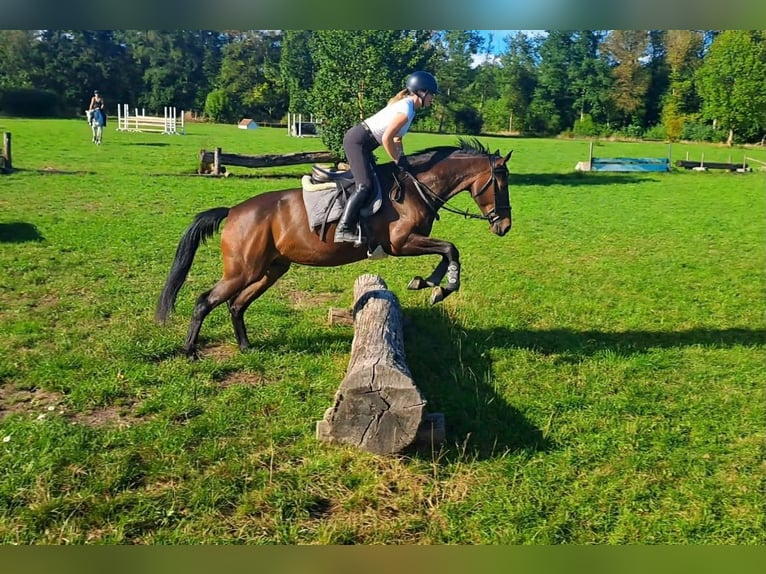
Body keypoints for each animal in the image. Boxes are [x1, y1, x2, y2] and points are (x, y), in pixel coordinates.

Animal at [156, 138, 513, 358]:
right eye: (500, 183)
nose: (505, 226)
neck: (416, 188)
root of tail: (233, 211)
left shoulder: (409, 243)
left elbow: (447, 251)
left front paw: (428, 283)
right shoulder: (401, 243)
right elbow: (451, 249)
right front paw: (441, 287)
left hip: (270, 270)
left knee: (236, 305)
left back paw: (245, 347)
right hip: (243, 270)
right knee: (205, 301)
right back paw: (190, 351)